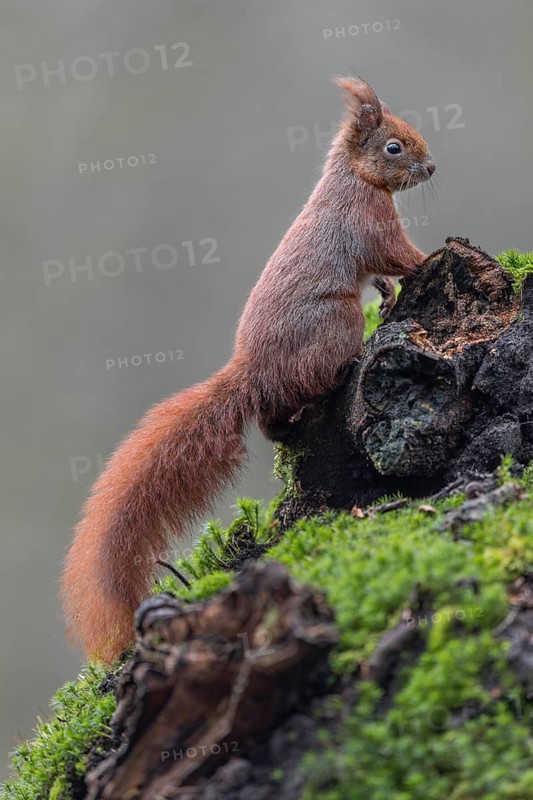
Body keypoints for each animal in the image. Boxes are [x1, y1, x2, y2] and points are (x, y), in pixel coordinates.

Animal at [62, 77, 435, 663]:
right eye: (393, 147)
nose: (432, 166)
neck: (352, 179)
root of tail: (249, 376)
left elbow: (383, 272)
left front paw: (392, 291)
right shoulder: (369, 223)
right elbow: (396, 253)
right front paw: (432, 259)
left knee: (272, 421)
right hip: (336, 321)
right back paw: (342, 371)